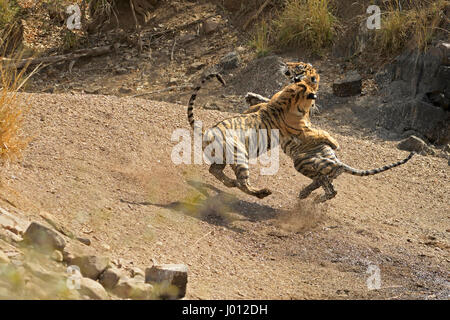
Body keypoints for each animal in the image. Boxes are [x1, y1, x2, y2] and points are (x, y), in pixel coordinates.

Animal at [186, 73, 338, 199]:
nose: (315, 105)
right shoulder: (302, 129)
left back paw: (230, 183)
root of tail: (207, 132)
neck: (289, 95)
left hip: (220, 159)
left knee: (214, 170)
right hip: (239, 156)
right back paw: (262, 192)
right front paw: (335, 143)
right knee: (242, 183)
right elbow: (320, 132)